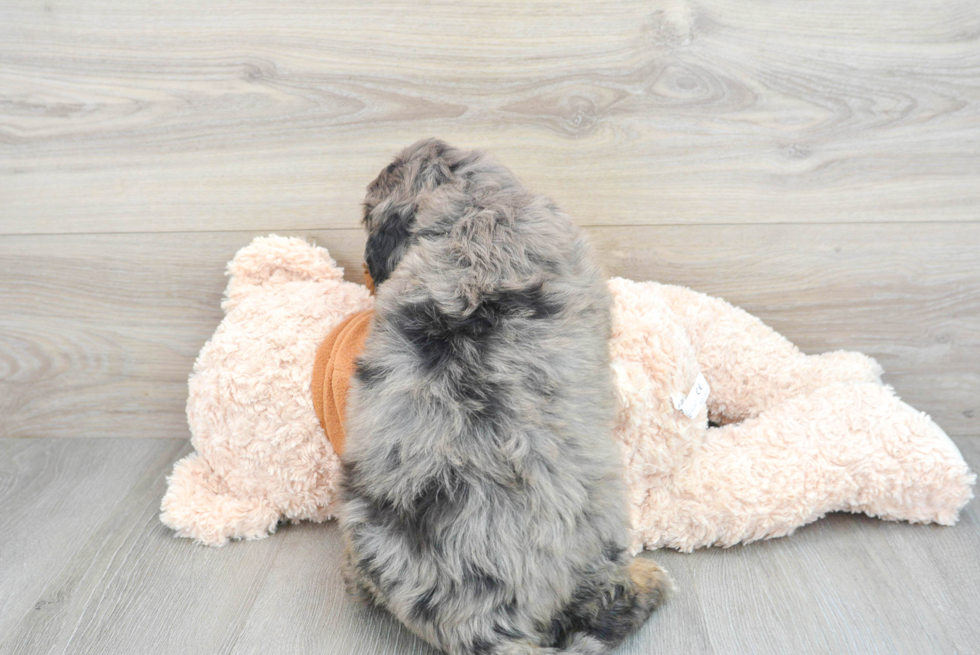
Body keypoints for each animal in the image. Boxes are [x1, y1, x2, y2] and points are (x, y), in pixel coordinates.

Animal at [340, 140, 668, 655]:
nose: (368, 273)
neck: (475, 206)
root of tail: (483, 623)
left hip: (362, 526)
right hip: (601, 524)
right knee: (602, 600)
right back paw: (645, 582)